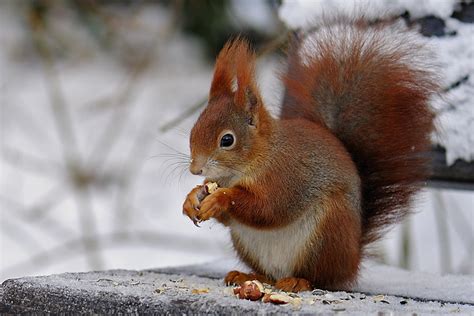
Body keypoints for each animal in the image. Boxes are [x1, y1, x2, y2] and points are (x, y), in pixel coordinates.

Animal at [181, 18, 436, 292]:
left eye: (227, 140)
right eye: (193, 130)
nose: (195, 169)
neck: (256, 159)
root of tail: (352, 259)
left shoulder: (287, 176)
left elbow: (268, 209)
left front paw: (221, 198)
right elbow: (230, 216)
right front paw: (191, 198)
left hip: (327, 232)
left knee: (321, 278)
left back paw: (298, 281)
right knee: (270, 274)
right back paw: (250, 276)